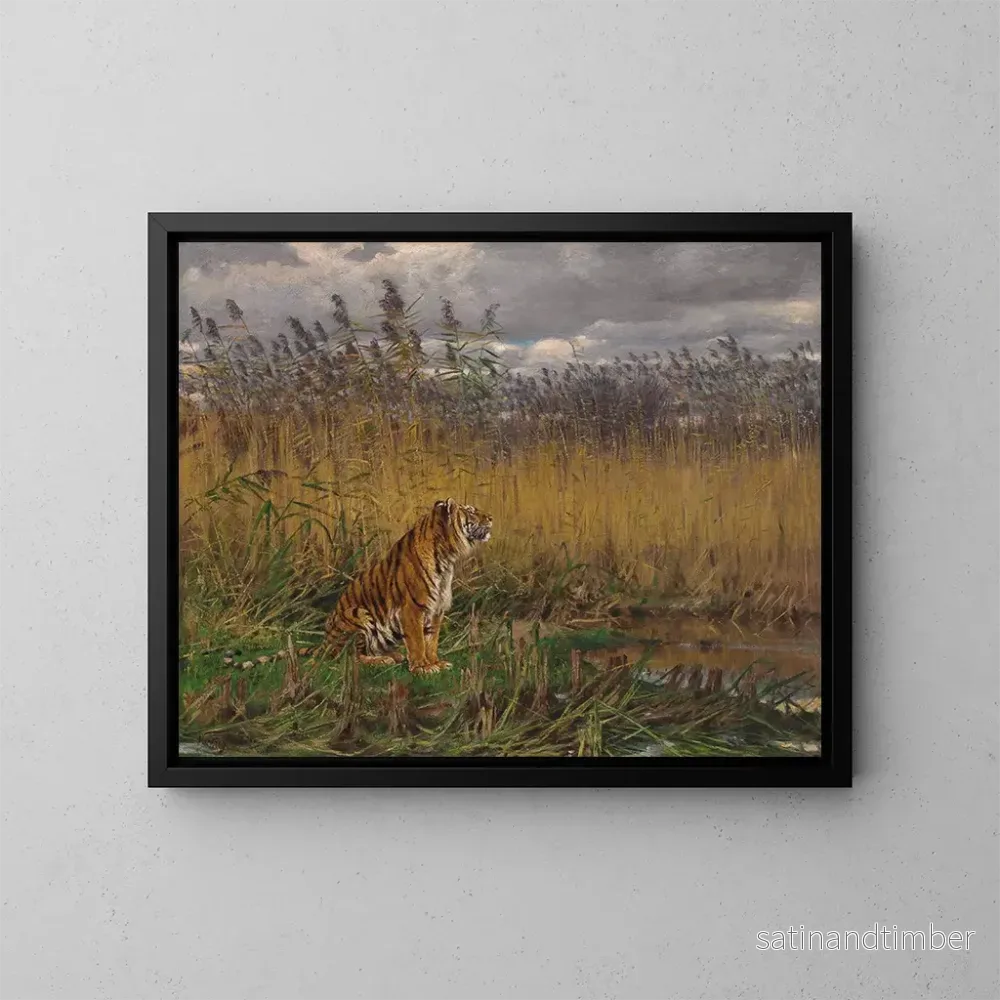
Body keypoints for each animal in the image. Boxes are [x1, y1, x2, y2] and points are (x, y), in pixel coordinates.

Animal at [324, 498, 493, 674]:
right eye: (471, 511)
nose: (491, 518)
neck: (446, 558)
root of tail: (324, 645)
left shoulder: (436, 610)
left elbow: (431, 641)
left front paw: (436, 663)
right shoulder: (412, 608)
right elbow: (417, 641)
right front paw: (422, 667)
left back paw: (395, 656)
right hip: (357, 613)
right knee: (351, 657)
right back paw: (382, 660)